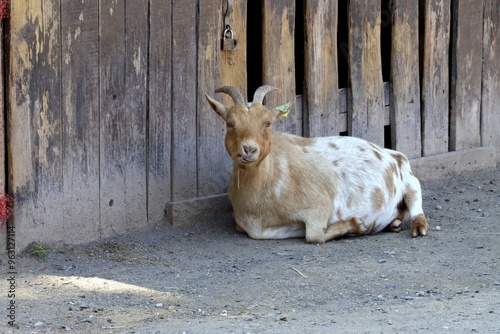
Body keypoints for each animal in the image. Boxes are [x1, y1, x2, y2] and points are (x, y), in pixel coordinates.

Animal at [205, 86, 428, 243]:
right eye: (229, 123)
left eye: (267, 123)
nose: (249, 150)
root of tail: (391, 153)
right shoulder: (255, 227)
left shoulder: (319, 205)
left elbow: (314, 235)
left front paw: (357, 225)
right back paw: (394, 223)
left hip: (408, 178)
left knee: (415, 200)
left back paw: (418, 227)